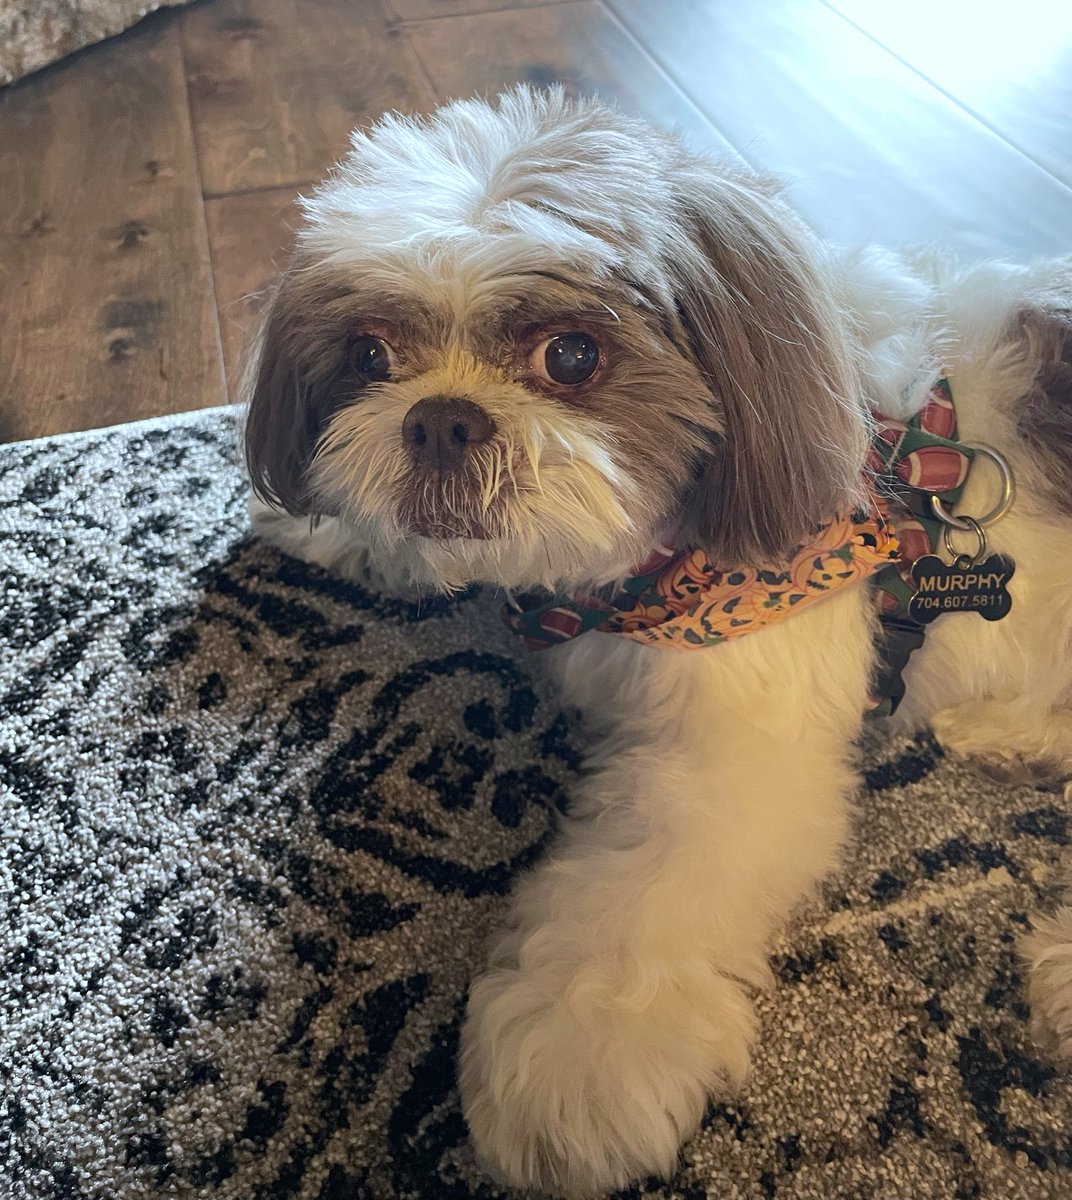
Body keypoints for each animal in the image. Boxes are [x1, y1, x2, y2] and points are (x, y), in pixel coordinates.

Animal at [242, 88, 1070, 1195]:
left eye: (571, 355)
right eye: (369, 356)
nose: (441, 419)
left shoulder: (735, 753)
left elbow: (636, 899)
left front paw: (577, 1055)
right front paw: (322, 523)